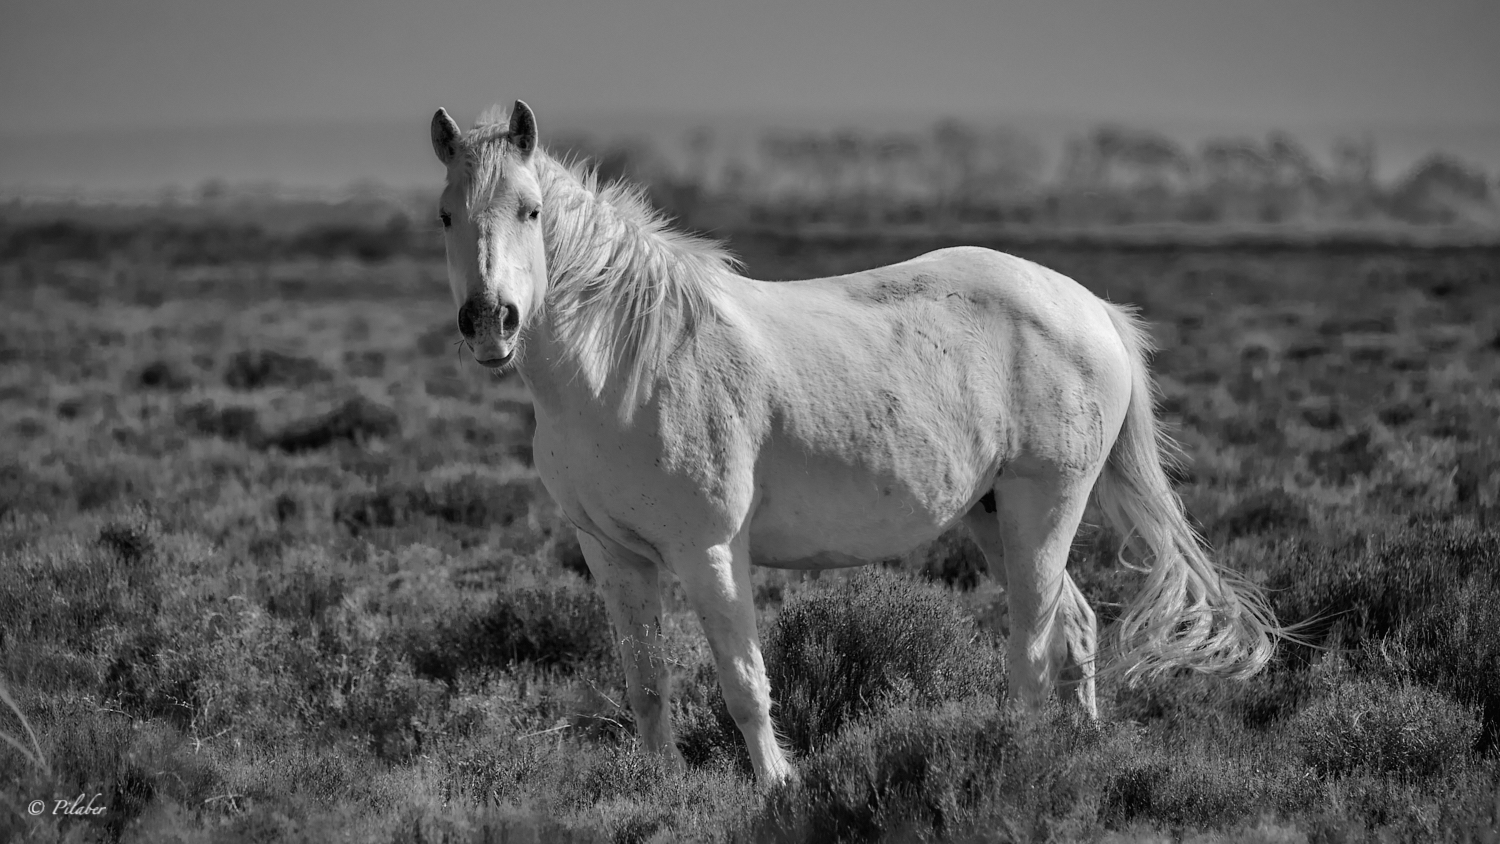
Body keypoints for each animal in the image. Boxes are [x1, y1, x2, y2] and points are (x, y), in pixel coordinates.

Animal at [429, 104, 1284, 785]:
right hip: (992, 515)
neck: (628, 363)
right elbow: (646, 684)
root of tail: (1091, 307)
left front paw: (777, 784)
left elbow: (744, 681)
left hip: (1045, 509)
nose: (490, 323)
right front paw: (662, 783)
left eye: (530, 210)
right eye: (445, 215)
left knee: (1033, 647)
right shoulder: (614, 556)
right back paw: (1081, 748)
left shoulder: (709, 551)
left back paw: (1013, 754)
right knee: (1074, 628)